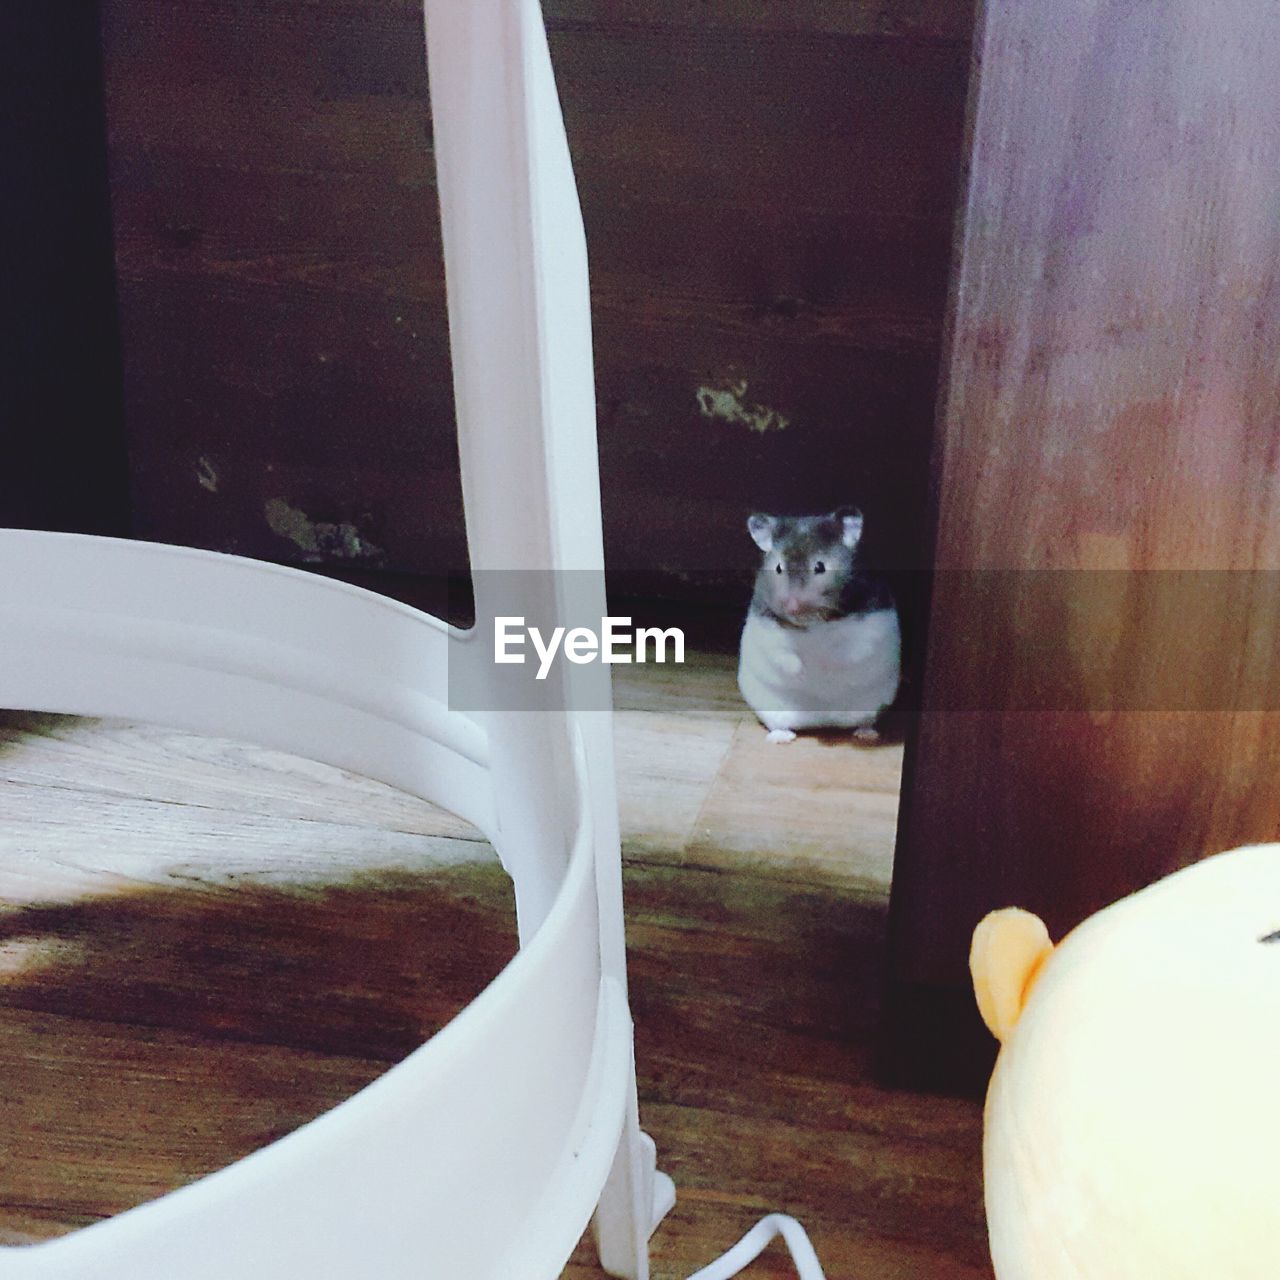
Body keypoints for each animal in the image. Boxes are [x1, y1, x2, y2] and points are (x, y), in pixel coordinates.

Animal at [737, 506, 906, 747]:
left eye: (820, 567)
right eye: (778, 568)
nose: (792, 606)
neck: (813, 623)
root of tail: (822, 721)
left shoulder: (870, 627)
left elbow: (845, 653)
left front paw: (822, 667)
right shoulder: (767, 626)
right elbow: (784, 654)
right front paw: (802, 673)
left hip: (874, 704)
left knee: (865, 721)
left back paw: (866, 735)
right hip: (769, 705)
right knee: (778, 724)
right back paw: (781, 738)